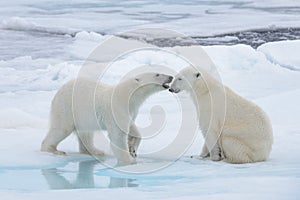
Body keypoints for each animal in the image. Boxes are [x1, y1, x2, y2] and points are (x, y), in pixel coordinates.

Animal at [42, 72, 173, 165]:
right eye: (157, 74)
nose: (171, 77)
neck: (128, 96)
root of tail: (59, 91)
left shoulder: (130, 111)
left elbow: (133, 129)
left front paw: (133, 149)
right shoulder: (117, 107)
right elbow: (118, 135)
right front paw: (128, 160)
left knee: (86, 133)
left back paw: (95, 151)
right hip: (67, 107)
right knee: (61, 128)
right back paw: (53, 150)